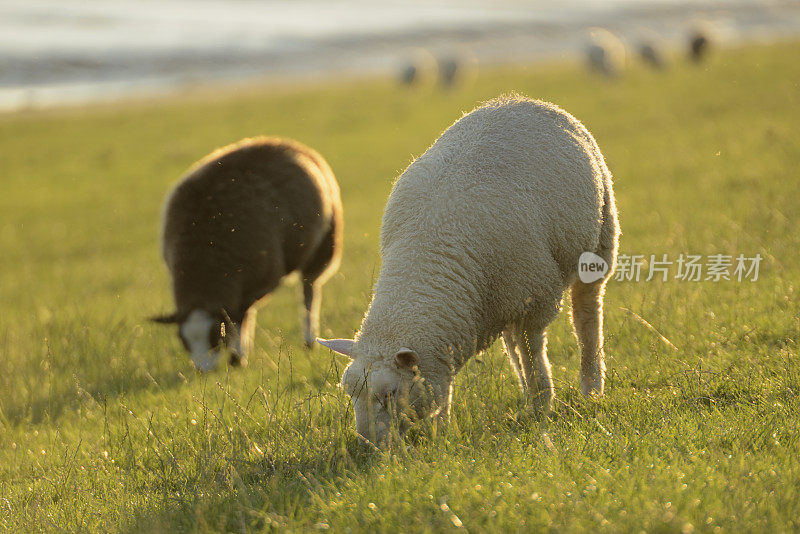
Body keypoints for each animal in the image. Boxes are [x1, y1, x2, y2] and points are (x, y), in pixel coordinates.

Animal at [154, 137, 344, 372]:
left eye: (215, 336)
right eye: (182, 340)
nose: (203, 371)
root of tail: (282, 141)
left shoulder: (262, 279)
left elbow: (239, 319)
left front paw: (238, 357)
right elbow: (240, 317)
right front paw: (240, 354)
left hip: (324, 246)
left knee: (309, 292)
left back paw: (309, 341)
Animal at [318, 95, 620, 444]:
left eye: (390, 394)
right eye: (350, 394)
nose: (369, 445)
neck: (427, 254)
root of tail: (520, 99)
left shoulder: (533, 303)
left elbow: (534, 357)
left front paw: (541, 407)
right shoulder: (448, 341)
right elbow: (446, 384)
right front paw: (442, 431)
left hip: (599, 241)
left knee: (587, 315)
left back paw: (591, 387)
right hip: (505, 298)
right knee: (513, 344)